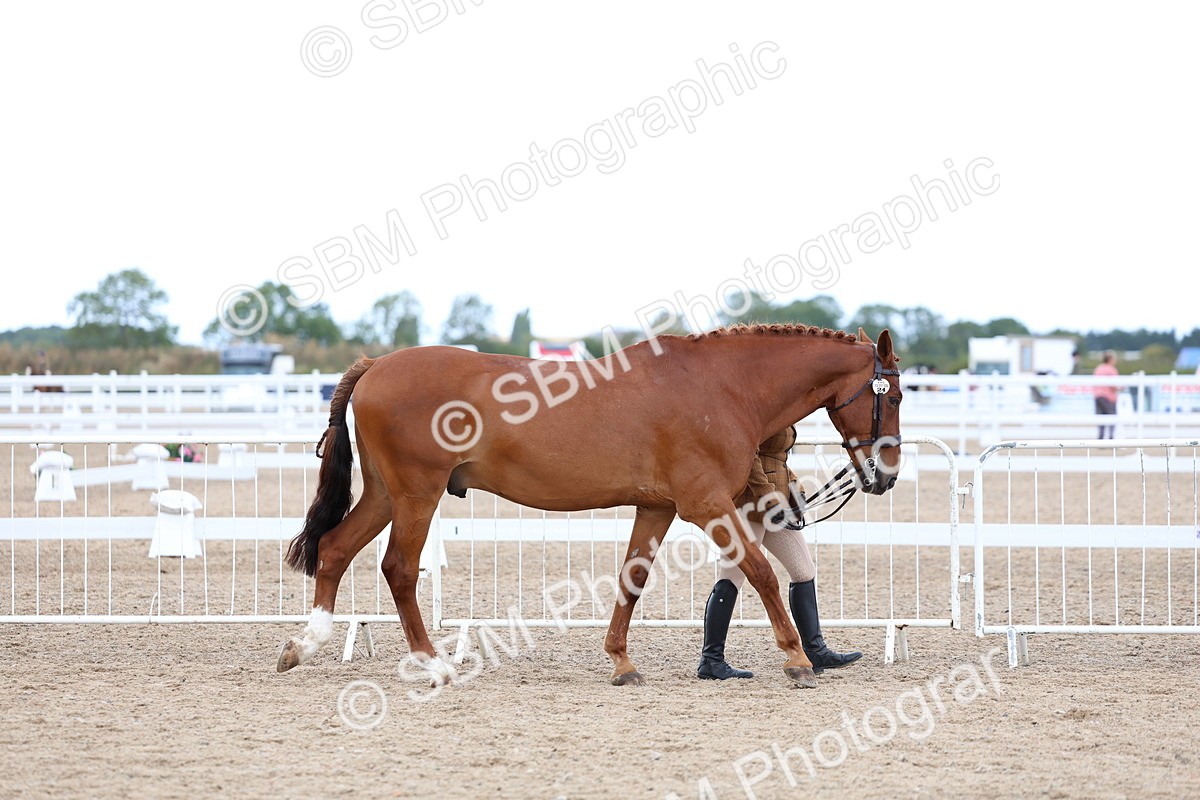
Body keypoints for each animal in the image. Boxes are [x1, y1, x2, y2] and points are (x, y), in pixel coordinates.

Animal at [275, 323, 903, 688]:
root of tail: (376, 365)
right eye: (891, 394)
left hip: (385, 494)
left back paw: (305, 644)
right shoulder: (707, 504)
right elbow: (763, 573)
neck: (720, 385)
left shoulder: (659, 508)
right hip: (415, 494)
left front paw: (621, 662)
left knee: (334, 549)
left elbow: (633, 578)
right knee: (398, 570)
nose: (886, 476)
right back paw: (434, 664)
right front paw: (798, 660)